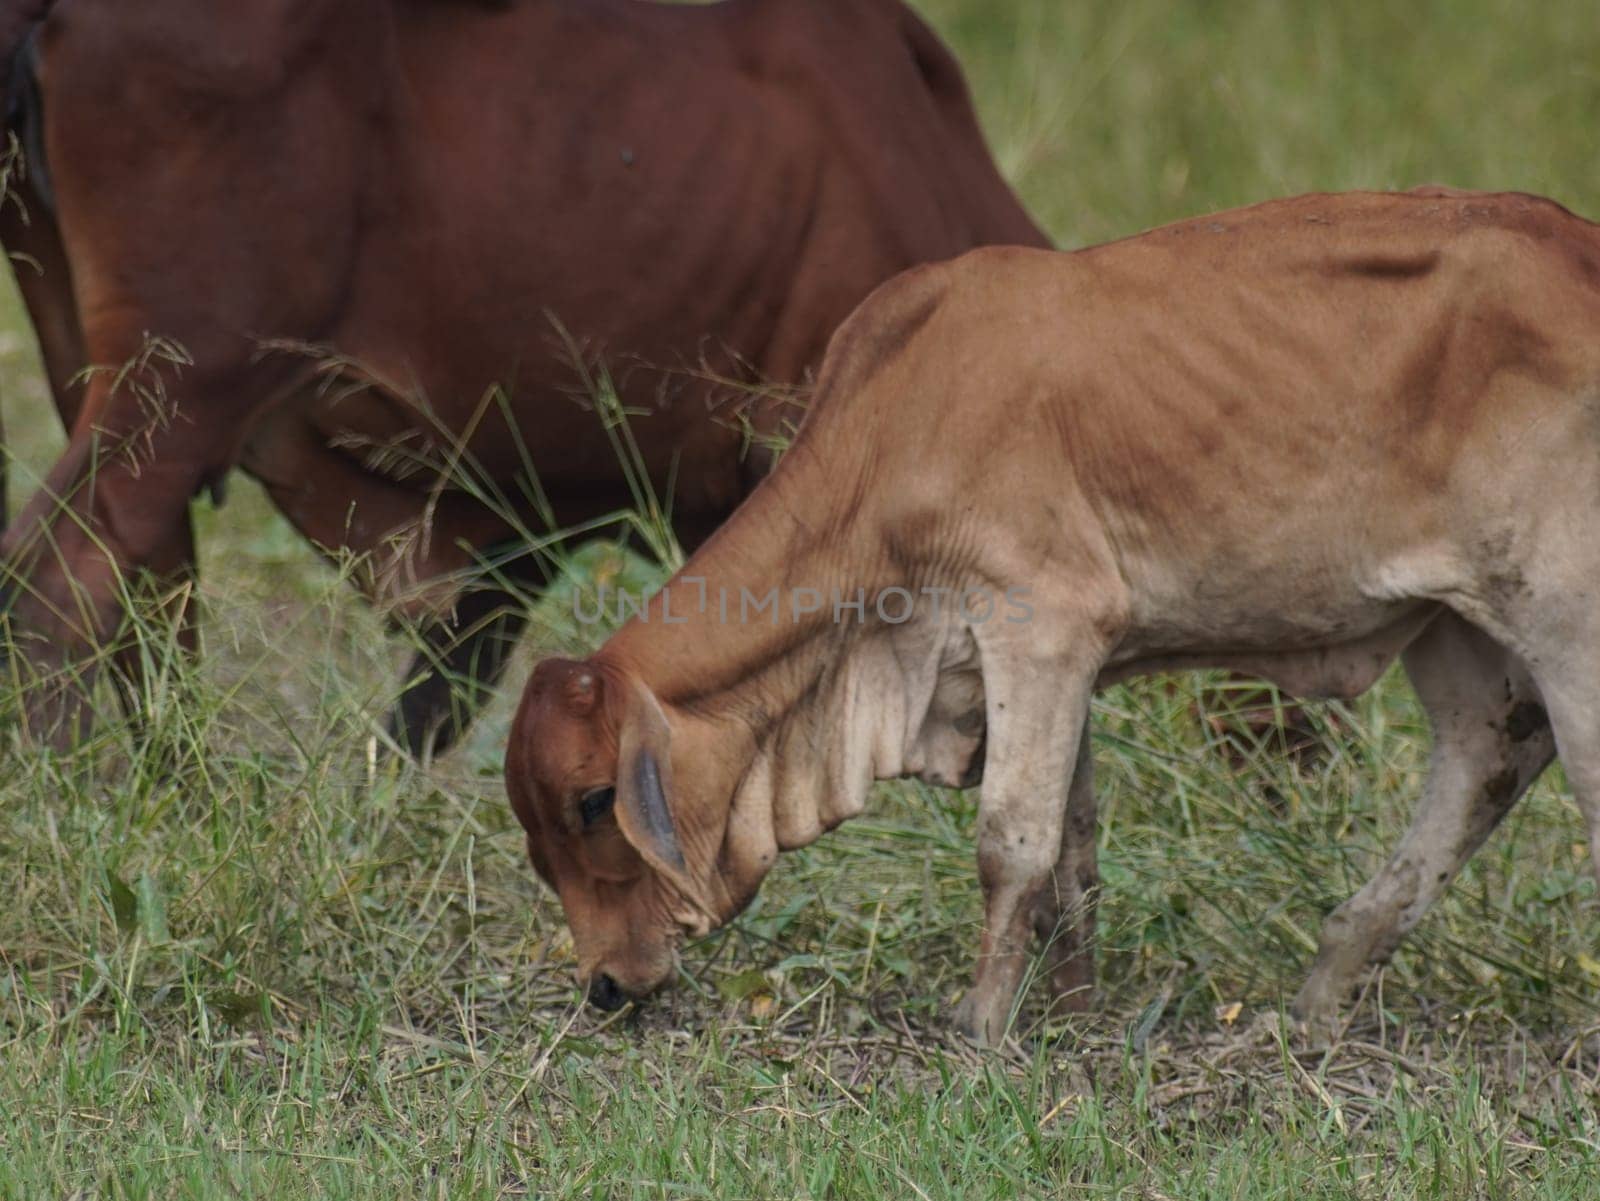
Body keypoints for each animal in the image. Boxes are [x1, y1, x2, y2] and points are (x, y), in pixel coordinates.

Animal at [0, 0, 1049, 751]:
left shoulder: (519, 539)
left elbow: (428, 712)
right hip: (182, 384)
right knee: (58, 588)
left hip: (102, 369)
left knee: (148, 598)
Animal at [505, 190, 1593, 1042]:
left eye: (594, 802)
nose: (605, 986)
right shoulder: (1049, 666)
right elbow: (1071, 856)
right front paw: (1070, 1014)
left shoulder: (1041, 627)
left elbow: (1010, 844)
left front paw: (981, 1027)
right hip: (1458, 629)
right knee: (1487, 757)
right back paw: (1322, 992)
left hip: (1563, 616)